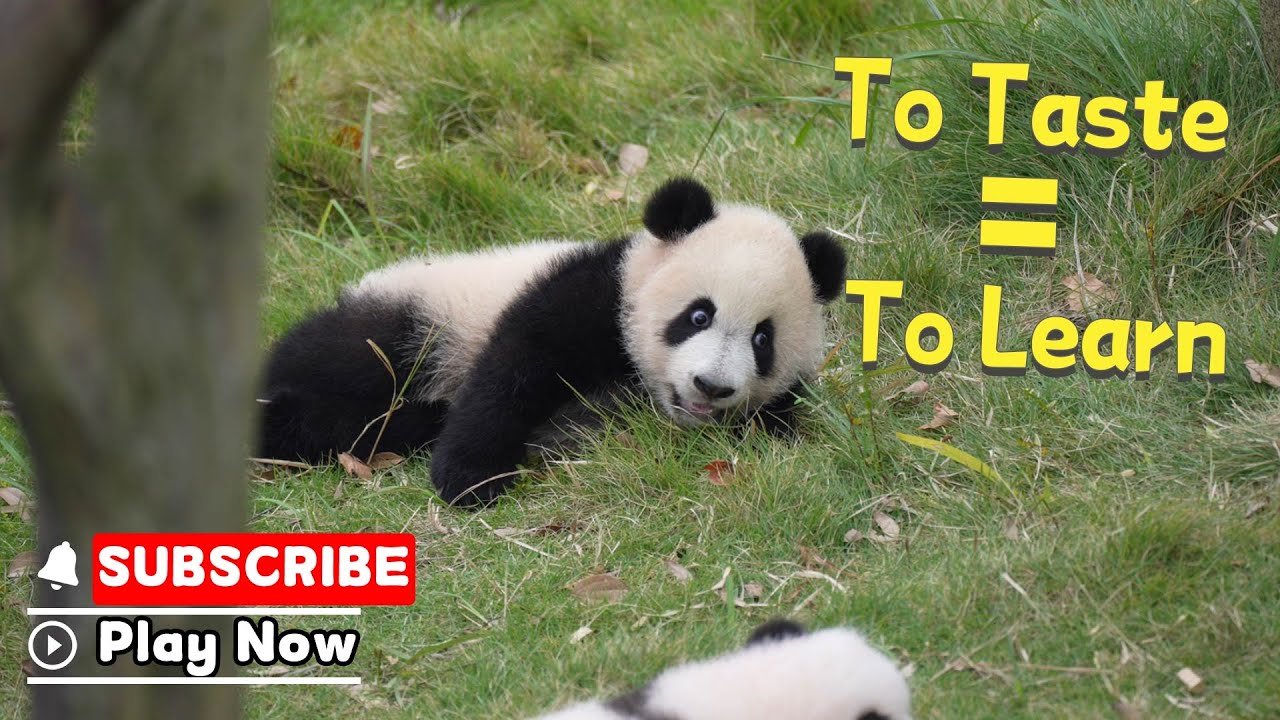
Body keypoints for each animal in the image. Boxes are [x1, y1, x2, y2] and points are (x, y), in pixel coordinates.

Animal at [258, 177, 846, 505]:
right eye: (698, 315)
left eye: (763, 339)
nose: (711, 386)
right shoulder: (591, 295)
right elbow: (514, 369)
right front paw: (470, 477)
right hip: (416, 322)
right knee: (343, 370)